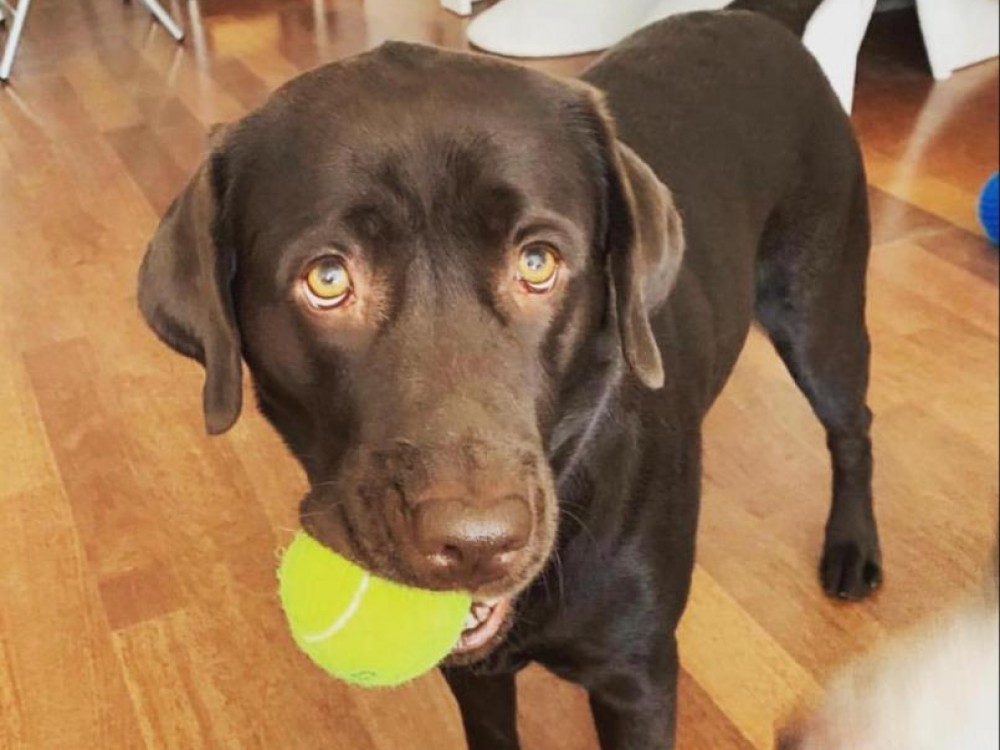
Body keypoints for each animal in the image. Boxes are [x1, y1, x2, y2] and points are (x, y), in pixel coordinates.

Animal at [137, 1, 882, 747]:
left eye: (537, 262)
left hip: (820, 317)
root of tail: (755, 18)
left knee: (853, 428)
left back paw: (853, 547)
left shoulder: (637, 677)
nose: (476, 543)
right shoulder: (476, 676)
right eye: (327, 278)